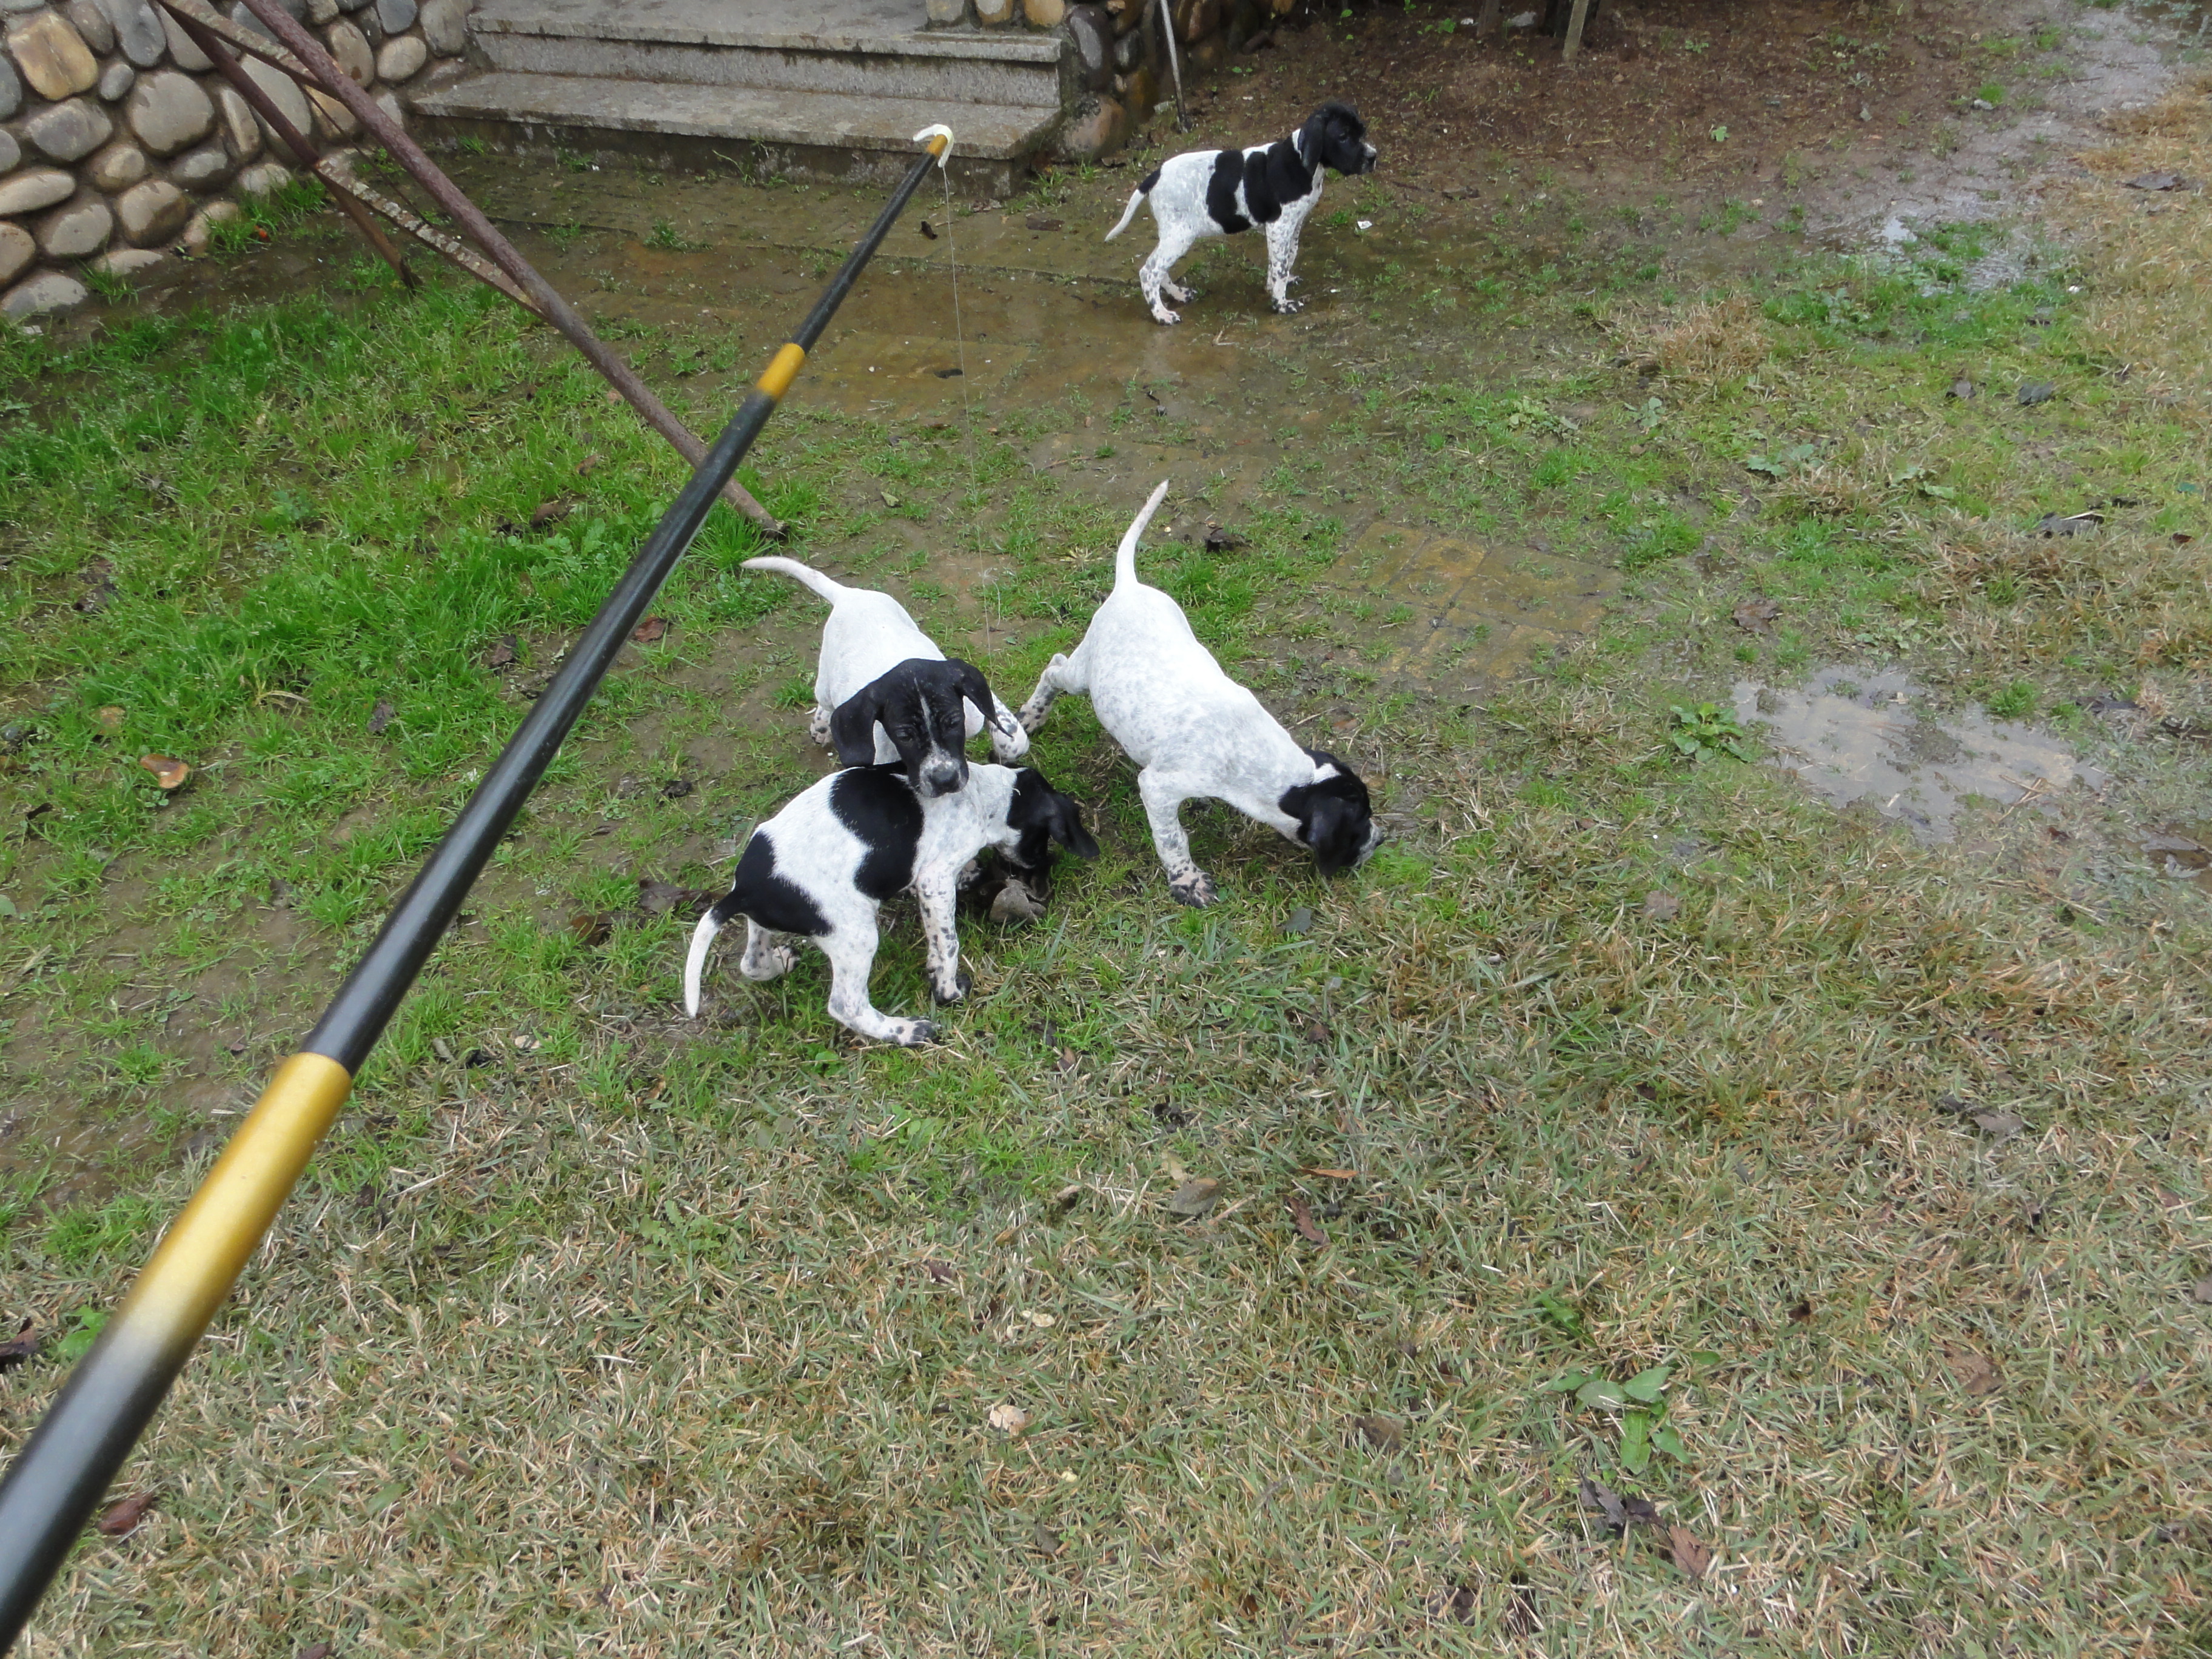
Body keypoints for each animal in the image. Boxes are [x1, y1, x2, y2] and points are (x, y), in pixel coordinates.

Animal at [683, 762, 1098, 1046]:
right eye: (1042, 844)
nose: (1044, 876)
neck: (985, 795)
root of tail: (745, 890)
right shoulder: (934, 881)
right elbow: (947, 944)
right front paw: (948, 990)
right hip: (857, 936)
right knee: (846, 1005)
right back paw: (905, 1031)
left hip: (764, 922)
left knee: (751, 963)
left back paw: (779, 962)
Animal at [744, 555, 1027, 798]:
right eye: (904, 736)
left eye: (954, 722)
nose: (945, 780)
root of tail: (848, 595)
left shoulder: (971, 707)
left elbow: (1011, 734)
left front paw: (1007, 738)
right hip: (824, 682)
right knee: (827, 702)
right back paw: (822, 724)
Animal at [1018, 481, 1380, 906]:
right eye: (1360, 824)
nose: (1380, 840)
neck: (1254, 753)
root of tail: (1129, 588)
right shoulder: (1158, 787)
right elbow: (1172, 838)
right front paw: (1187, 880)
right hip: (1082, 675)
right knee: (1054, 669)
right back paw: (1030, 717)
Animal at [1104, 100, 1377, 326]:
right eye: (1343, 136)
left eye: (1362, 132)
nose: (1374, 157)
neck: (1300, 162)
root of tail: (1155, 175)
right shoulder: (1279, 226)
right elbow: (1280, 265)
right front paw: (1281, 303)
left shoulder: (1293, 225)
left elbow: (1286, 258)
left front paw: (1277, 285)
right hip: (1179, 236)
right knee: (1149, 271)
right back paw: (1162, 315)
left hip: (1173, 235)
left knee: (1159, 269)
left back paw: (1179, 294)